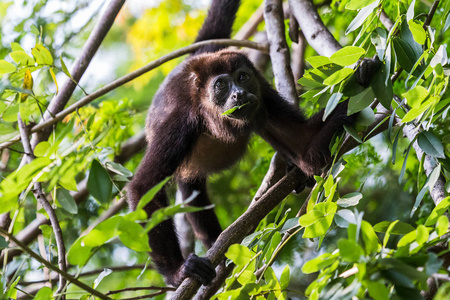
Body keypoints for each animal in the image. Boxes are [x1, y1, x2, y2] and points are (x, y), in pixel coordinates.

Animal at [127, 0, 376, 288]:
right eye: (221, 84)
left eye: (242, 78)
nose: (239, 93)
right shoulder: (180, 121)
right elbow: (145, 187)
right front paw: (177, 273)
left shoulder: (263, 94)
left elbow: (305, 147)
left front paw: (362, 76)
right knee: (192, 190)